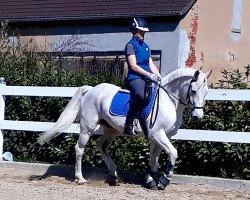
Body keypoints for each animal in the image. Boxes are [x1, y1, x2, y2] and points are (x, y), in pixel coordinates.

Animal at [37, 67, 211, 191]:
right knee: (79, 149)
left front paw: (151, 181)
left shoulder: (161, 137)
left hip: (112, 130)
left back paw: (113, 175)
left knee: (102, 146)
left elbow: (153, 160)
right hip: (87, 127)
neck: (168, 100)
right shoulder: (158, 134)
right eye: (193, 91)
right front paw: (164, 179)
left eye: (206, 92)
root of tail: (91, 89)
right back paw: (80, 178)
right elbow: (173, 153)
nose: (197, 116)